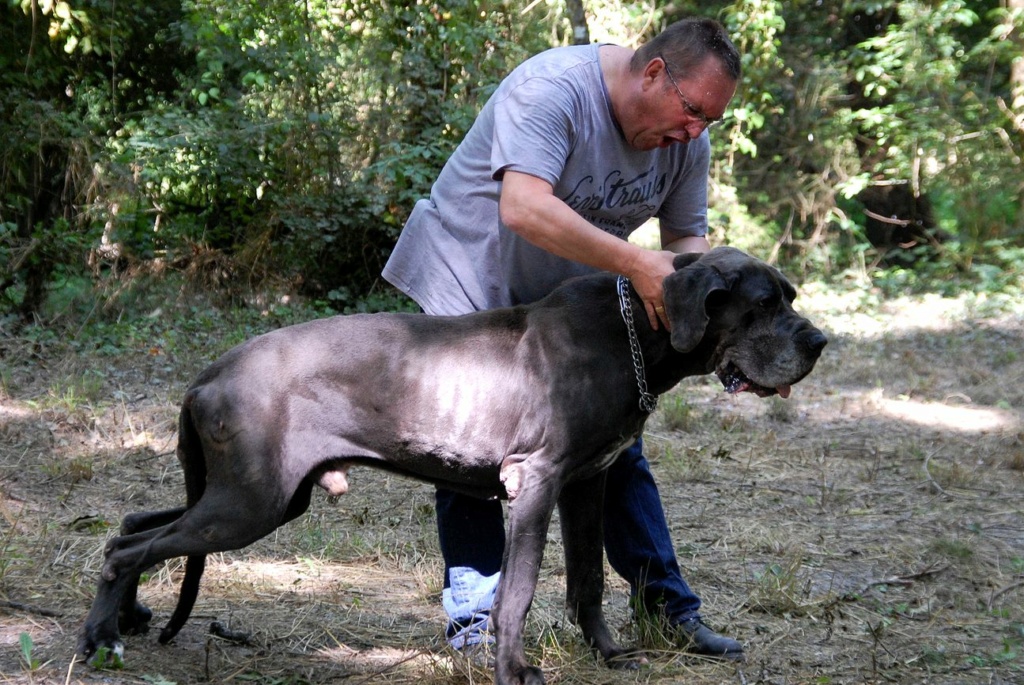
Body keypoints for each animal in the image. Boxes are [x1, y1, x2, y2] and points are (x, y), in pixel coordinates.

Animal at [83, 246, 827, 683]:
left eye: (790, 295)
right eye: (764, 303)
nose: (821, 341)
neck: (634, 333)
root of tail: (209, 372)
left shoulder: (587, 482)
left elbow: (587, 578)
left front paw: (609, 652)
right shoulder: (534, 482)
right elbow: (518, 590)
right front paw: (515, 669)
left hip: (254, 492)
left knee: (134, 524)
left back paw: (128, 619)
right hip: (252, 499)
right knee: (130, 547)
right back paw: (99, 639)